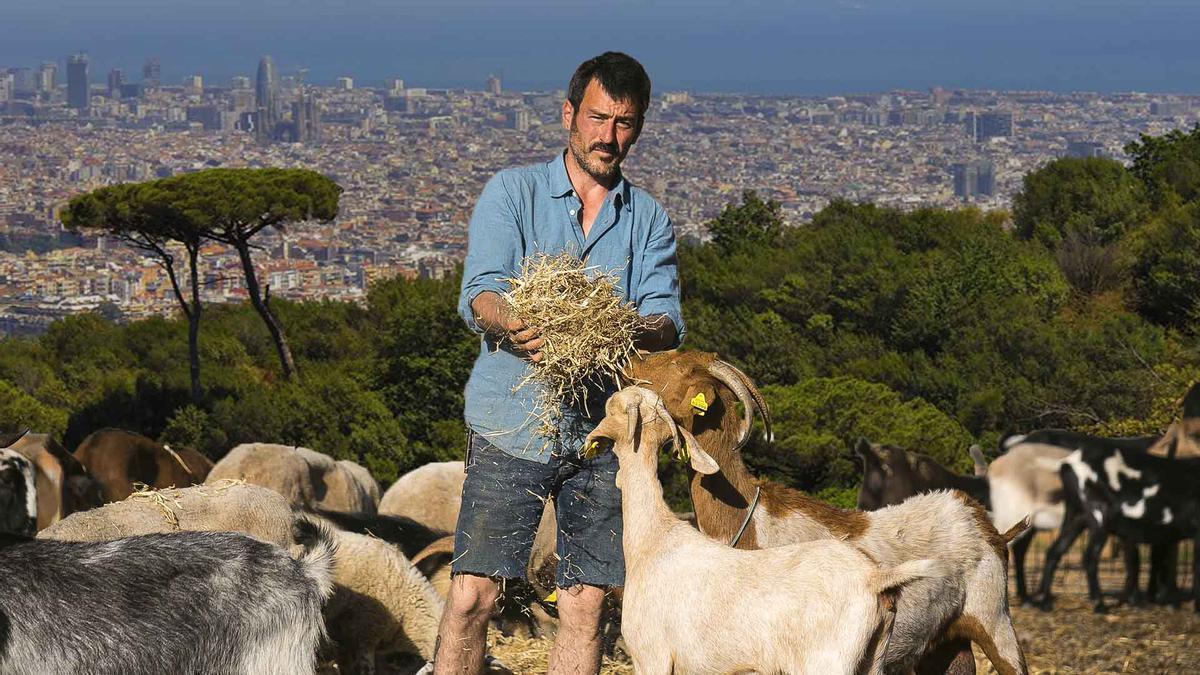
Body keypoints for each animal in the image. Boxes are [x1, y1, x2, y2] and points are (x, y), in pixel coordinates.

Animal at [585, 384, 940, 672]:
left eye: (614, 406)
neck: (654, 537)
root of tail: (875, 578)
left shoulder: (651, 655)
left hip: (827, 661)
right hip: (874, 657)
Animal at [624, 348, 1027, 672]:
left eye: (675, 363)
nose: (632, 359)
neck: (749, 519)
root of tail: (984, 523)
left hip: (995, 620)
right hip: (944, 642)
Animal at [1032, 444, 1200, 612]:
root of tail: (1069, 462)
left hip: (1077, 516)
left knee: (1055, 551)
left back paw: (1045, 603)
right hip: (1100, 513)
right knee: (1089, 557)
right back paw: (1100, 605)